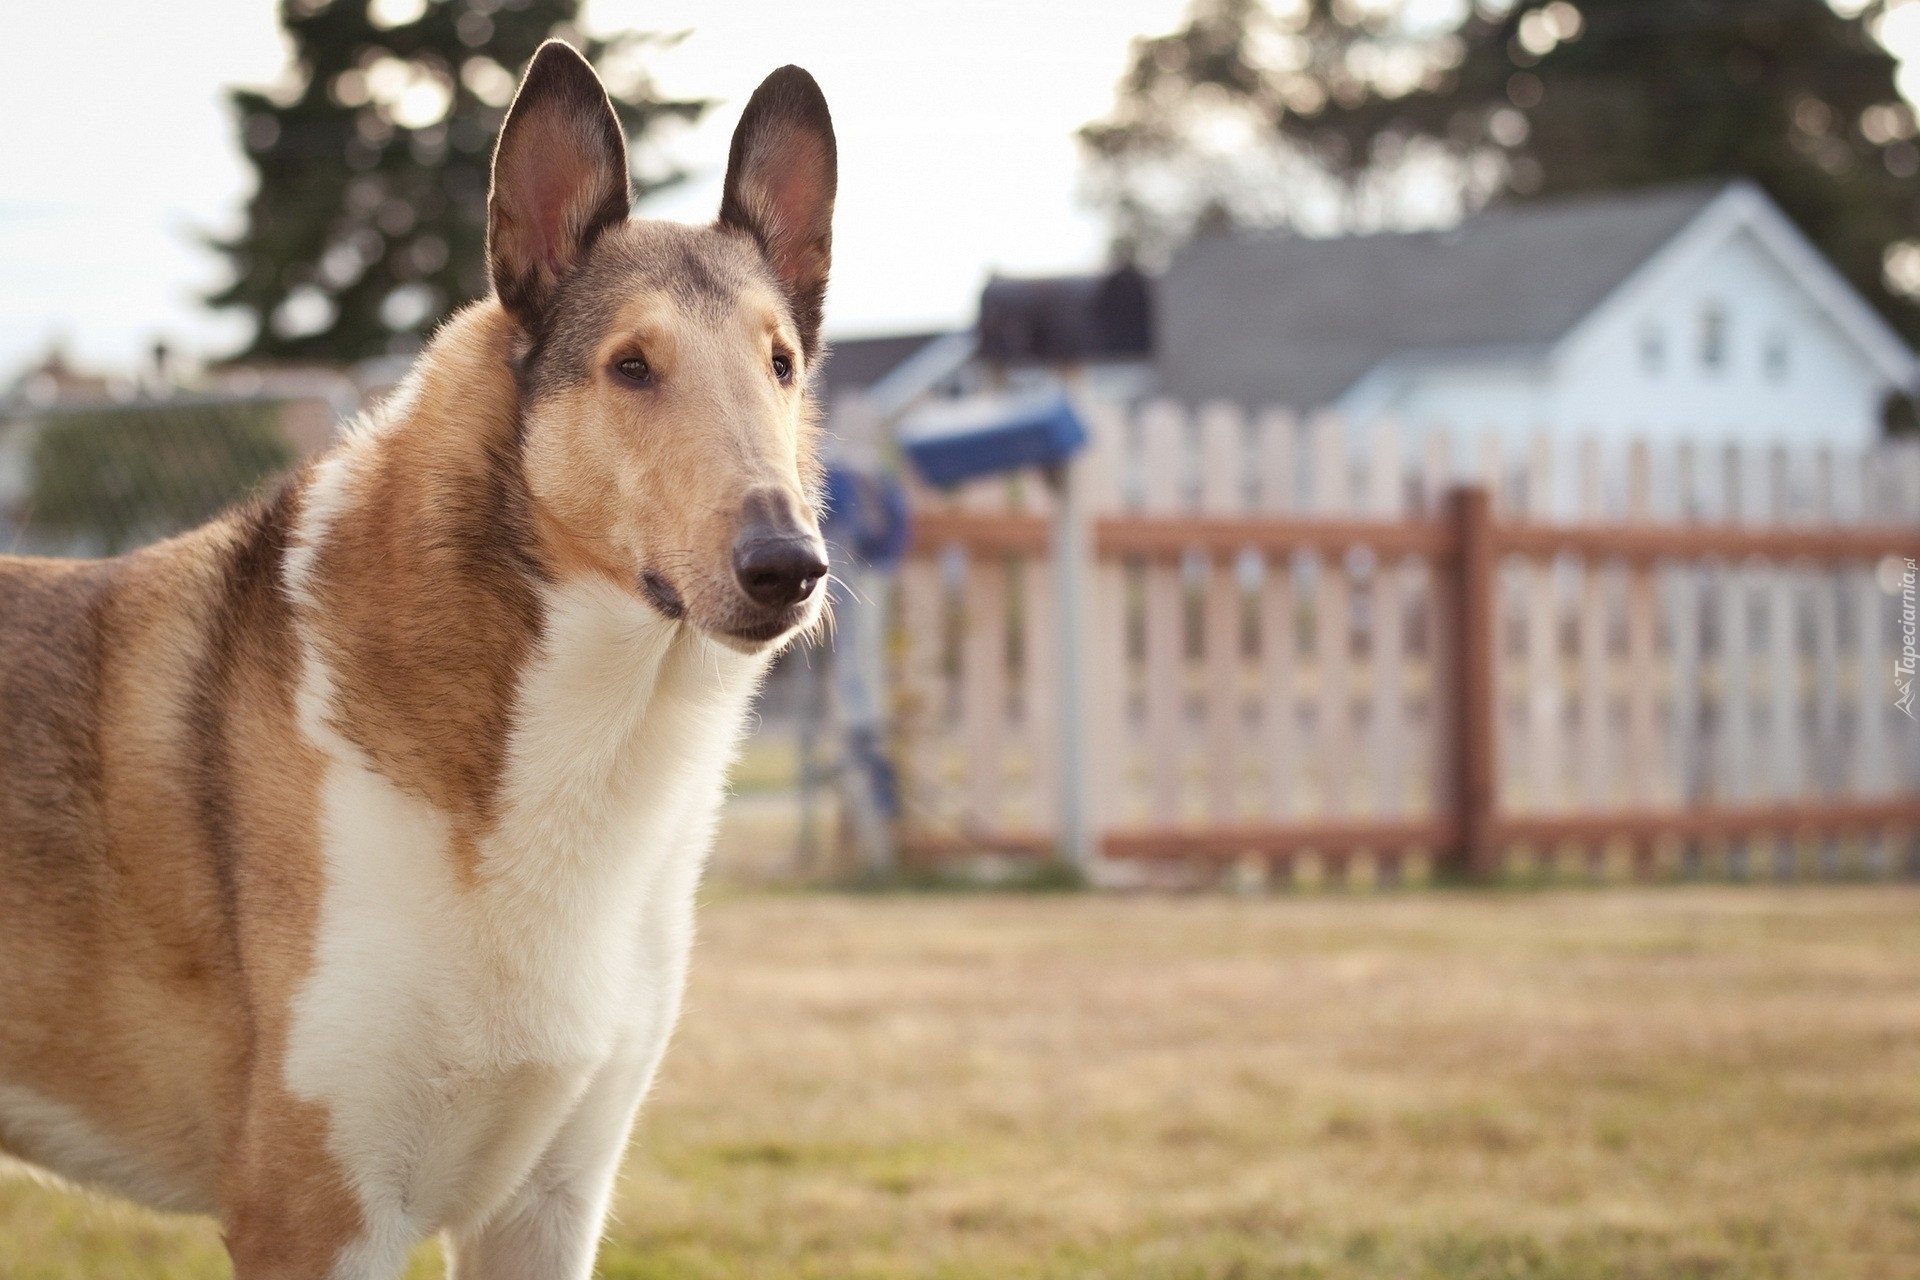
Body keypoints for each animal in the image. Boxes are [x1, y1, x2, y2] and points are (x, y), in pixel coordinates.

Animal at [0, 42, 837, 1280]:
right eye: (631, 366)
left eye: (780, 364)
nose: (790, 565)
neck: (589, 744)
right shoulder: (317, 1213)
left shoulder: (544, 1203)